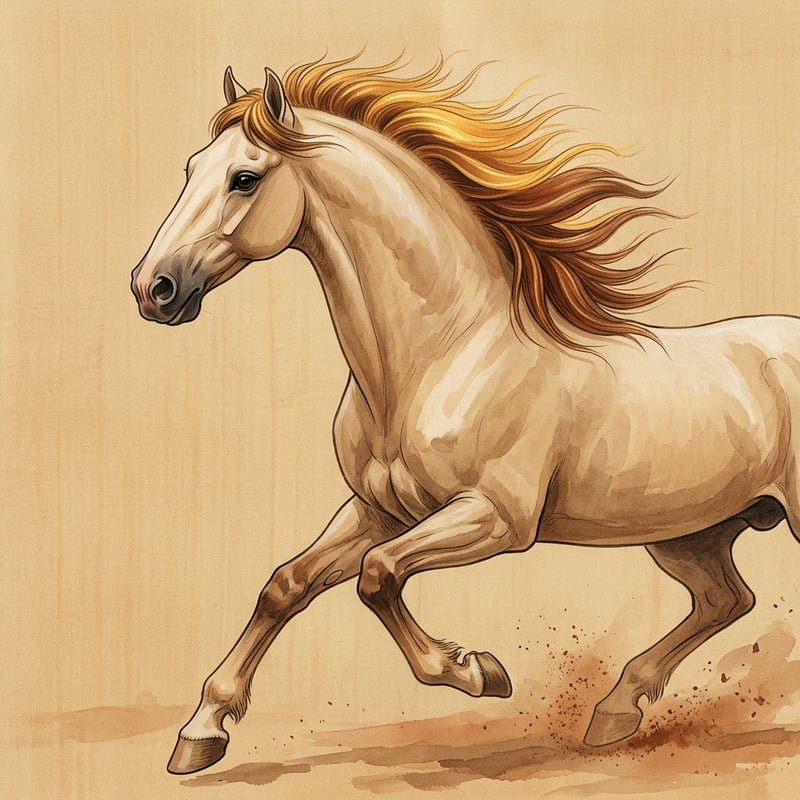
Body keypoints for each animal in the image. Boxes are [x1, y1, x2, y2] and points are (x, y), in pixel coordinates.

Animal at [131, 56, 796, 775]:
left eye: (245, 178)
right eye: (191, 168)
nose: (152, 288)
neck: (445, 353)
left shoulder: (496, 517)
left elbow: (378, 576)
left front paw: (478, 671)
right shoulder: (377, 510)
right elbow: (286, 585)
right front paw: (202, 733)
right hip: (688, 533)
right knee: (726, 599)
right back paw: (614, 713)